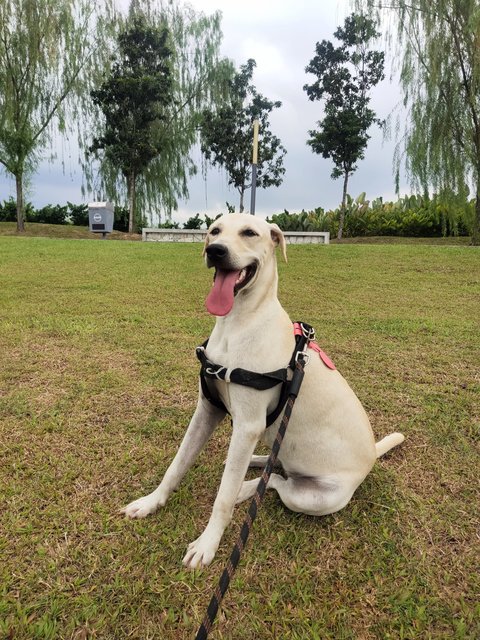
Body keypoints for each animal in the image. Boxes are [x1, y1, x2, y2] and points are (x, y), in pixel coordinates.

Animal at [121, 212, 404, 568]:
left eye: (249, 233)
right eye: (214, 231)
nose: (215, 250)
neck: (237, 323)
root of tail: (371, 457)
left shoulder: (248, 425)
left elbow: (223, 497)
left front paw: (208, 543)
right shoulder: (207, 409)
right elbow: (177, 464)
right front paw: (151, 502)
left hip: (313, 498)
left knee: (277, 483)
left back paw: (246, 487)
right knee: (274, 467)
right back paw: (257, 461)